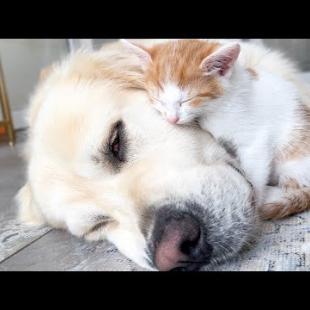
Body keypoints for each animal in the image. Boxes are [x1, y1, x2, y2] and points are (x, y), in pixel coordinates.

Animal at [120, 38, 310, 219]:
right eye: (158, 100)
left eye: (187, 100)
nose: (172, 119)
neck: (219, 105)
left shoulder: (256, 140)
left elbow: (255, 169)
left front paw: (255, 200)